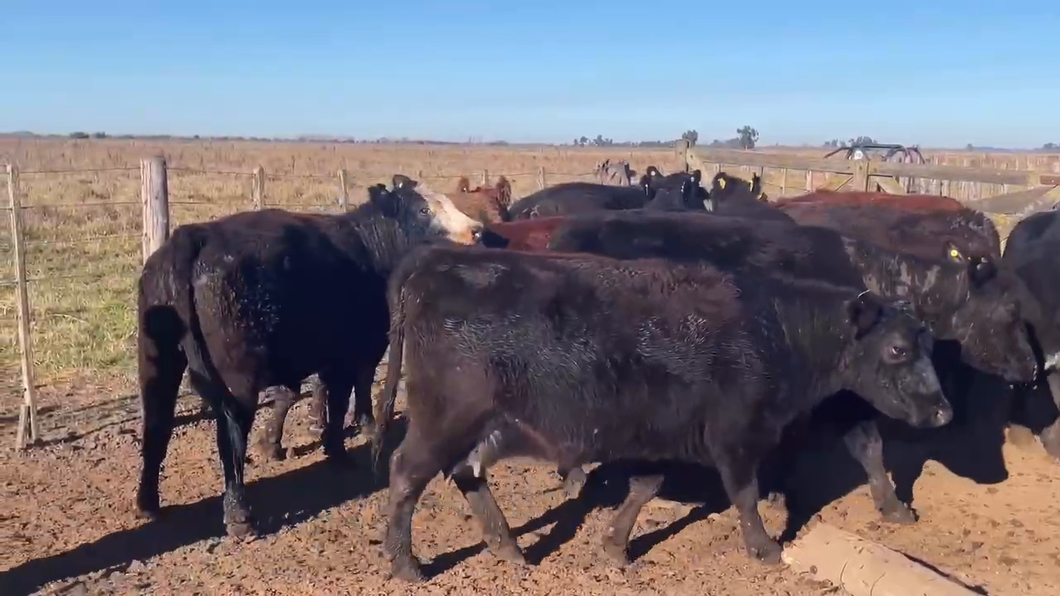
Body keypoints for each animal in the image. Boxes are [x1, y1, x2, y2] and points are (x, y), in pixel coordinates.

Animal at [133, 174, 485, 534]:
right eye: (423, 209)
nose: (476, 230)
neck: (369, 248)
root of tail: (193, 236)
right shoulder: (353, 351)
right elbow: (345, 394)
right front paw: (344, 445)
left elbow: (295, 394)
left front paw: (274, 444)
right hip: (237, 378)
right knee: (230, 434)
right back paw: (239, 514)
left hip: (157, 359)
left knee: (157, 424)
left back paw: (148, 502)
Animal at [375, 242, 953, 581]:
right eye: (898, 349)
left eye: (929, 345)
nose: (943, 413)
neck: (774, 330)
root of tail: (435, 264)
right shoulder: (735, 437)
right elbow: (745, 495)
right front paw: (764, 548)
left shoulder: (669, 434)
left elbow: (643, 487)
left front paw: (615, 545)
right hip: (445, 417)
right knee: (407, 474)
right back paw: (406, 564)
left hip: (482, 425)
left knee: (465, 474)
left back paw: (509, 548)